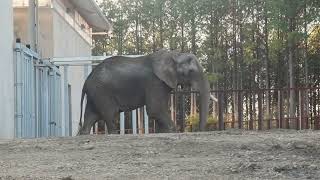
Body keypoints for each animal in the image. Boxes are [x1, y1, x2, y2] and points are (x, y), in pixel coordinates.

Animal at [78, 48, 210, 134]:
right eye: (191, 71)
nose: (199, 130)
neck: (174, 55)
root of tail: (86, 81)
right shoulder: (155, 81)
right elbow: (155, 109)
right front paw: (172, 131)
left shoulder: (162, 83)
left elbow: (159, 108)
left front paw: (163, 132)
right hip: (101, 92)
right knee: (109, 113)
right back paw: (113, 134)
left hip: (95, 93)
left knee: (91, 116)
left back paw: (83, 134)